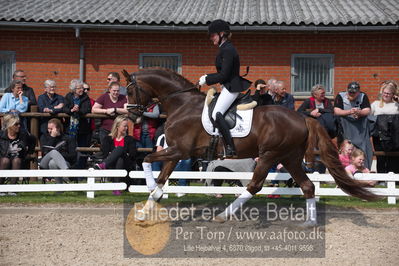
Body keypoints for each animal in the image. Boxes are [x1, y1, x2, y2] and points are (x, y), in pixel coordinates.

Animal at [123, 67, 380, 224]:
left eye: (130, 90)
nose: (132, 116)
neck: (182, 104)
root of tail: (301, 117)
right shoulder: (176, 152)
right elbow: (160, 178)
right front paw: (146, 209)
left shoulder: (179, 150)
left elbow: (146, 160)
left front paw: (148, 189)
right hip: (289, 157)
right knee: (307, 186)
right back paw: (310, 222)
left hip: (269, 155)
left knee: (254, 185)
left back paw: (224, 214)